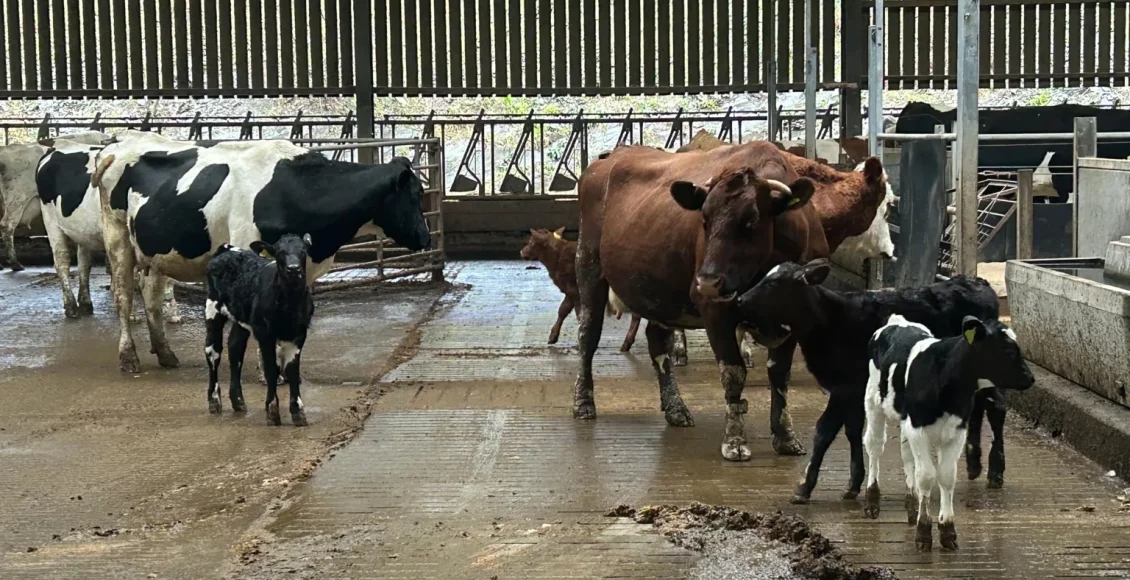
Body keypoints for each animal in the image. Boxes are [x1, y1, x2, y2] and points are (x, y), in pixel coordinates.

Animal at [92, 130, 432, 373]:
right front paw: (266, 367)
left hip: (155, 251)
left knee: (150, 296)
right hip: (117, 237)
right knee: (123, 295)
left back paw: (165, 353)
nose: (427, 238)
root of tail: (117, 144)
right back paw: (129, 357)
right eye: (415, 194)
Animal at [572, 141, 826, 461]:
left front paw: (785, 437)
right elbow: (733, 373)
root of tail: (611, 156)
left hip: (660, 291)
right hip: (588, 264)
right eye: (704, 220)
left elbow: (780, 376)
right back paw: (583, 402)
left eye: (752, 221)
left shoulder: (793, 315)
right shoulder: (715, 309)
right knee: (587, 335)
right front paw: (734, 440)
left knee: (657, 341)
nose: (706, 282)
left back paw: (675, 408)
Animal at [864, 314, 1034, 552]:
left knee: (906, 455)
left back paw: (911, 504)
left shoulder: (955, 431)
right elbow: (926, 476)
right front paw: (924, 533)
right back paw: (872, 501)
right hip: (873, 401)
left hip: (905, 420)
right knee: (874, 445)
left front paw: (947, 531)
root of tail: (897, 321)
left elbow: (945, 476)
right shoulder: (918, 428)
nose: (1030, 378)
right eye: (1007, 350)